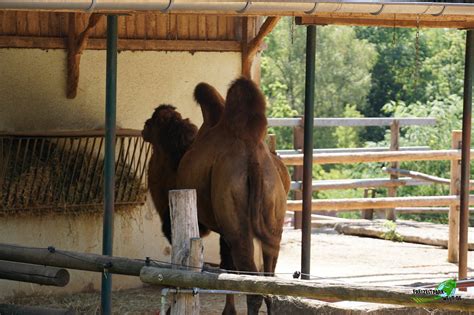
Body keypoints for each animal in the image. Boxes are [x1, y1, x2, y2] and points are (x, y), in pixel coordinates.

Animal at [178, 77, 288, 315]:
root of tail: (253, 158)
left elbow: (227, 266)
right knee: (270, 277)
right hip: (275, 211)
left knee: (249, 279)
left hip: (235, 218)